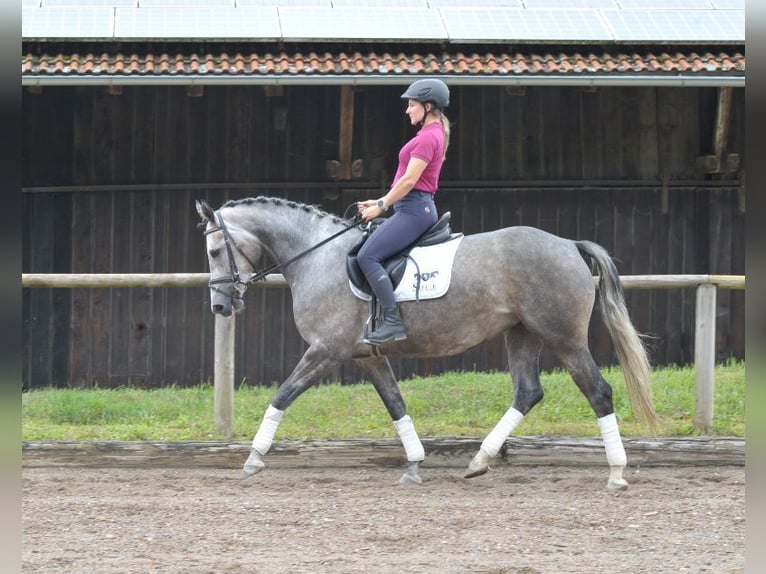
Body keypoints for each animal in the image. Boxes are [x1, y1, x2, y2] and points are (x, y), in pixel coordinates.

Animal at [195, 197, 656, 490]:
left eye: (215, 250)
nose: (219, 305)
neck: (317, 256)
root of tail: (567, 245)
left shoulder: (326, 350)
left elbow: (282, 395)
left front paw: (253, 459)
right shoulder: (367, 357)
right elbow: (396, 404)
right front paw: (415, 465)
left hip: (564, 338)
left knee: (598, 392)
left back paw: (616, 473)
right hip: (522, 334)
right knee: (528, 392)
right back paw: (478, 462)